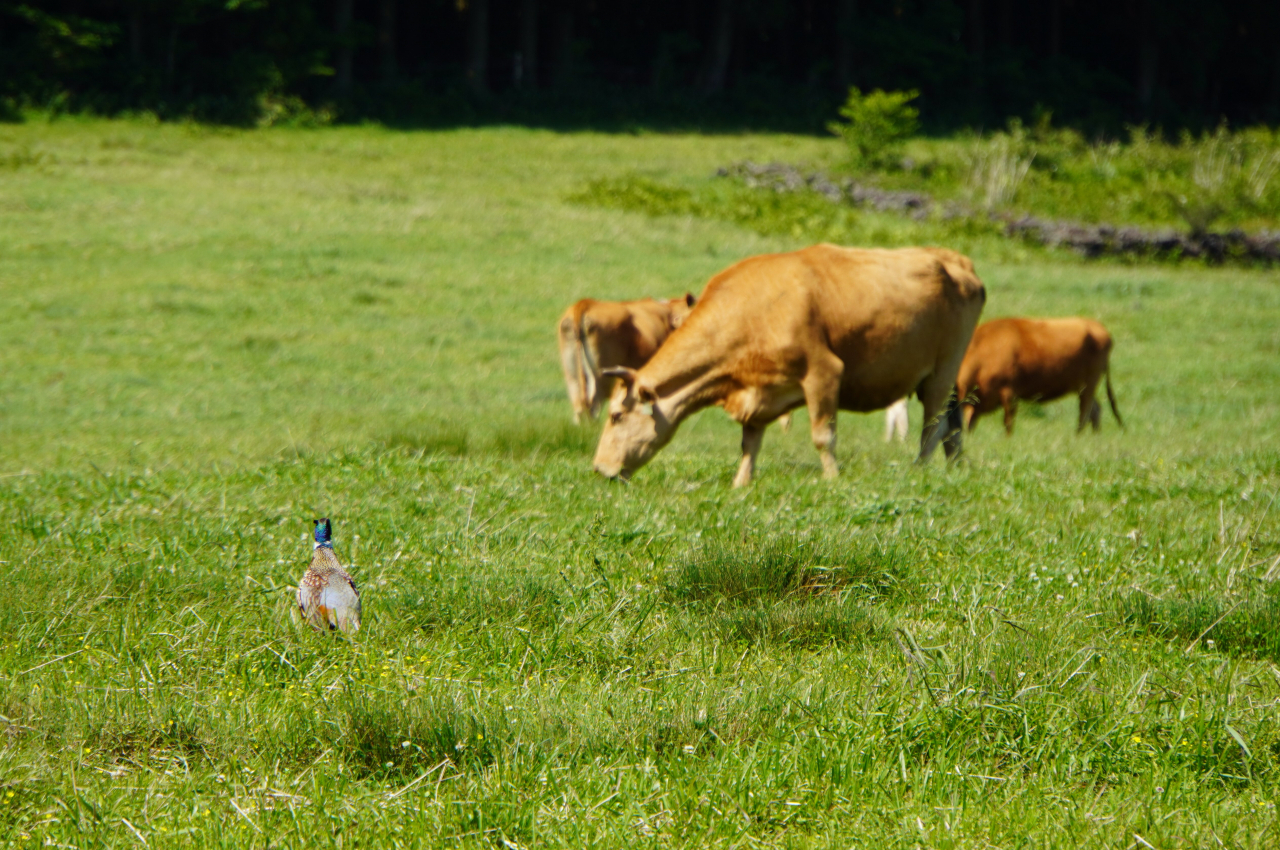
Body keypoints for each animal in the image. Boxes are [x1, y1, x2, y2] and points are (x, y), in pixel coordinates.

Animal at [593, 244, 983, 483]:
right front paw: (741, 484)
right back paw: (954, 467)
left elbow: (823, 436)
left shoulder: (823, 372)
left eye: (616, 416)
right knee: (952, 424)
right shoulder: (756, 390)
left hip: (942, 371)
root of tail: (956, 260)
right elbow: (749, 443)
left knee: (933, 425)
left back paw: (919, 469)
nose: (598, 468)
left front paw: (832, 480)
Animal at [957, 314, 1126, 435]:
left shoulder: (1009, 393)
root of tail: (1096, 325)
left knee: (1085, 412)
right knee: (1095, 409)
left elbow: (1008, 422)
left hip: (1089, 384)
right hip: (1082, 386)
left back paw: (1077, 435)